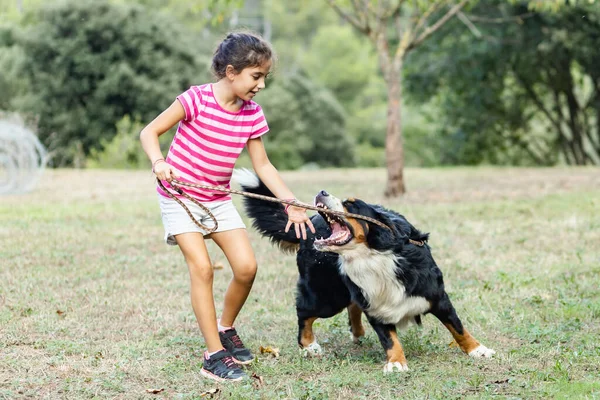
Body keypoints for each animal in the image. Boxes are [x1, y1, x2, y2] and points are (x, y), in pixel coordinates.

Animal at [237, 170, 494, 372]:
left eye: (350, 205)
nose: (322, 192)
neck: (374, 257)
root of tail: (310, 225)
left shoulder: (436, 295)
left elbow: (458, 327)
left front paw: (478, 349)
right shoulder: (377, 305)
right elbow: (389, 339)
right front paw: (396, 362)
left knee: (351, 306)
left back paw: (357, 333)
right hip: (327, 296)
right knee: (304, 312)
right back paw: (309, 345)